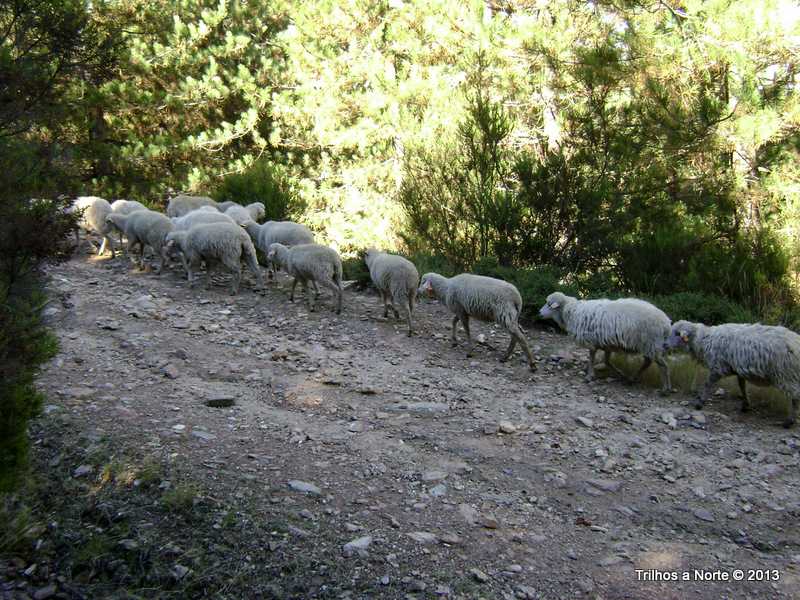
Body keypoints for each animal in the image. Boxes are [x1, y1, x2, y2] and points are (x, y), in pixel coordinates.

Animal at [539, 292, 671, 394]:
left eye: (550, 304)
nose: (539, 313)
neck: (573, 312)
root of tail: (666, 323)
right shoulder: (606, 343)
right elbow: (607, 361)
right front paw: (619, 373)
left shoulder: (591, 340)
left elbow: (592, 357)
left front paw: (590, 375)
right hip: (647, 345)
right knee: (648, 362)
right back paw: (633, 378)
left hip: (651, 344)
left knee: (663, 365)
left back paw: (665, 389)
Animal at [665, 320, 800, 428]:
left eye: (677, 333)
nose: (665, 345)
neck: (703, 339)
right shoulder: (737, 368)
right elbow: (742, 385)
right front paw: (745, 405)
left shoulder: (719, 366)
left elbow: (708, 383)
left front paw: (699, 403)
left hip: (787, 374)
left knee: (795, 397)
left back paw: (789, 422)